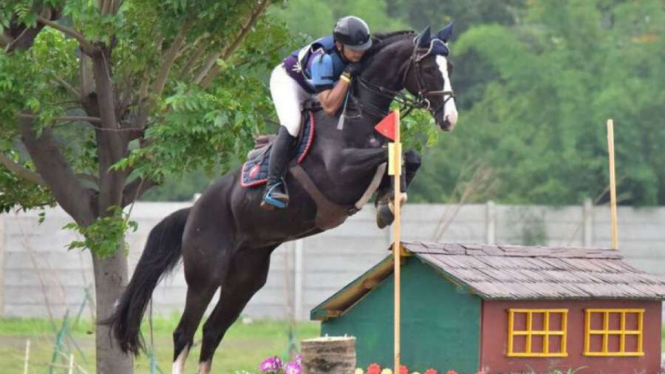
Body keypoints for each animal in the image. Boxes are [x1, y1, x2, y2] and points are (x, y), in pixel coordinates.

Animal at [105, 24, 456, 374]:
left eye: (449, 68)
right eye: (429, 68)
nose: (449, 119)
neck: (358, 113)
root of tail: (194, 211)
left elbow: (406, 156)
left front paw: (390, 201)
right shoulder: (339, 173)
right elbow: (391, 153)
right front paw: (390, 201)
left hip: (245, 279)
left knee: (213, 330)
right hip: (206, 275)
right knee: (185, 333)